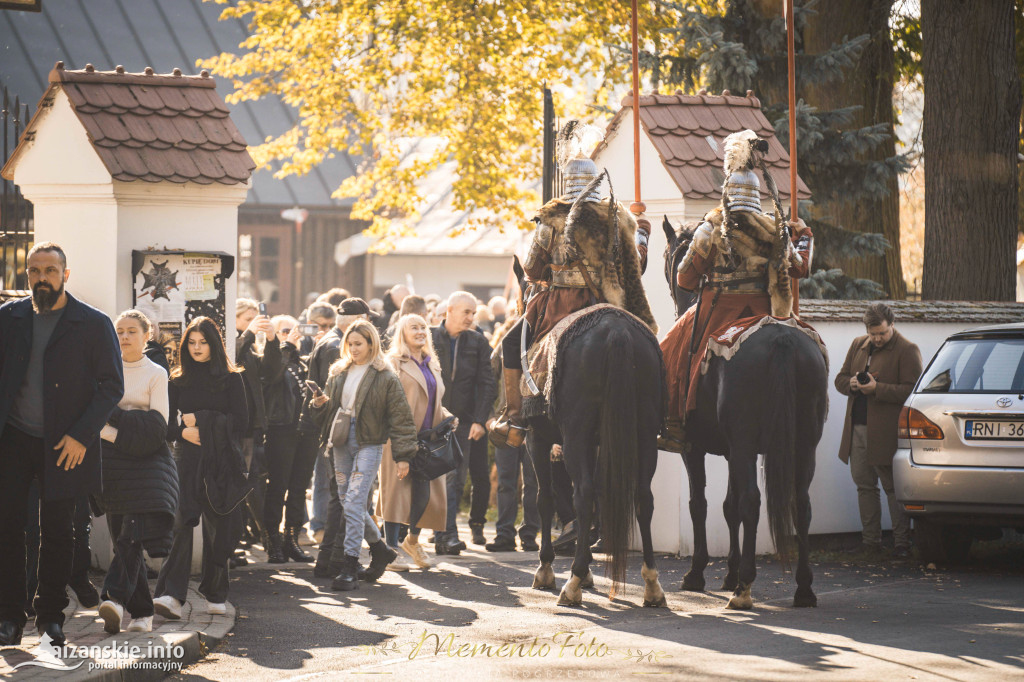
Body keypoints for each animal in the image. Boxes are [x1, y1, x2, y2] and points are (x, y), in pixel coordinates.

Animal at [507, 256, 667, 606]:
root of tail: (617, 332)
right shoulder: (599, 443)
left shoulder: (538, 439)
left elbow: (545, 499)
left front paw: (547, 569)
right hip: (644, 435)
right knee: (643, 498)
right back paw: (651, 583)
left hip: (575, 436)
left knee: (582, 494)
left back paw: (573, 582)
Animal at [659, 216, 827, 606]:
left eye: (670, 257)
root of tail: (781, 339)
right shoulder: (732, 449)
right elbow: (728, 505)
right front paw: (730, 572)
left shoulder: (696, 448)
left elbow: (702, 503)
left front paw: (699, 573)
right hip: (801, 444)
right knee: (801, 503)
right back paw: (804, 587)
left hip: (747, 442)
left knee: (752, 501)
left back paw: (746, 586)